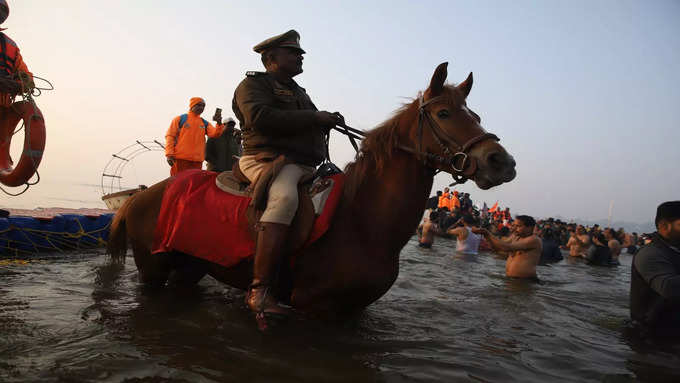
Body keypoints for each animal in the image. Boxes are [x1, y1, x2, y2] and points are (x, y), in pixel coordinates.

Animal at [109, 64, 516, 318]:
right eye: (444, 114)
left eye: (476, 117)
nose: (502, 161)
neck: (362, 221)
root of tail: (142, 195)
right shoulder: (317, 309)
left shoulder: (354, 312)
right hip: (152, 267)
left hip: (190, 266)